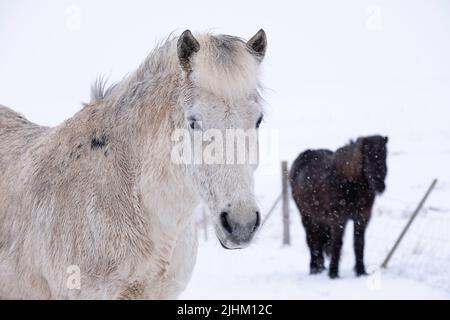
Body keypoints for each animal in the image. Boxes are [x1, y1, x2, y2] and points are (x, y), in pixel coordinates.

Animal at [290, 135, 388, 278]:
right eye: (368, 156)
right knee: (311, 239)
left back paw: (320, 267)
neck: (349, 183)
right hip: (307, 216)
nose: (380, 186)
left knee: (319, 239)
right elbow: (337, 243)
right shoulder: (338, 220)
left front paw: (361, 271)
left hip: (320, 218)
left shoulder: (362, 218)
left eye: (384, 155)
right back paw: (314, 268)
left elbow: (359, 244)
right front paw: (333, 273)